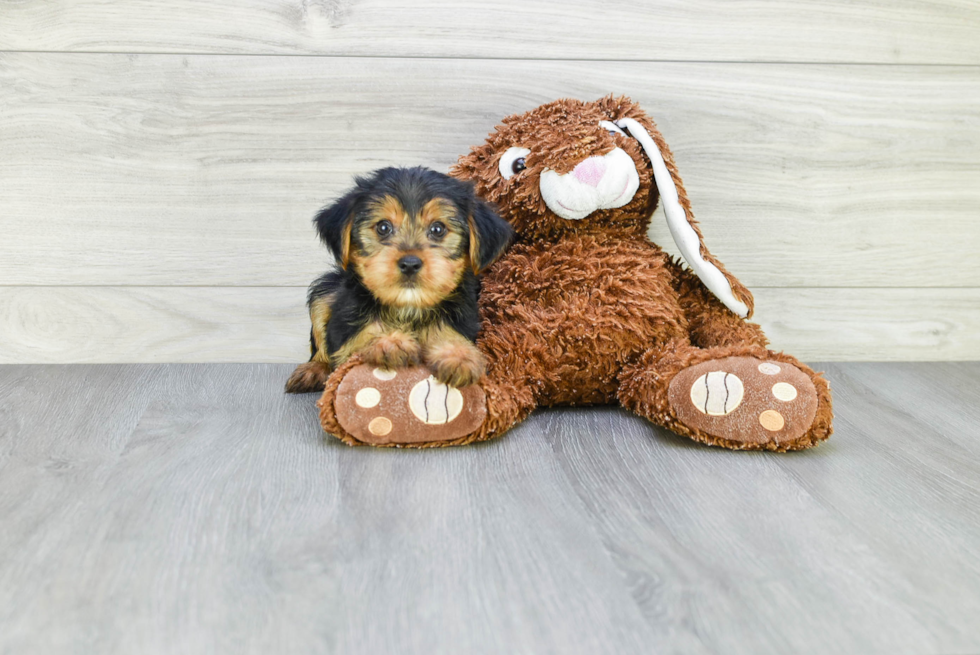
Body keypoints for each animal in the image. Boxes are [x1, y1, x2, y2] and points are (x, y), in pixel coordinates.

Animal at [284, 168, 512, 394]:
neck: (408, 307)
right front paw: (390, 343)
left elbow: (450, 334)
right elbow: (361, 338)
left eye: (438, 229)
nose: (410, 263)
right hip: (325, 292)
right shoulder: (346, 334)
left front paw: (459, 355)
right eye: (383, 227)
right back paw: (313, 369)